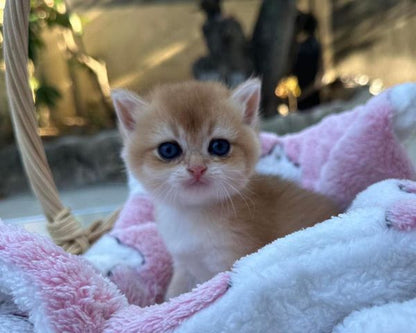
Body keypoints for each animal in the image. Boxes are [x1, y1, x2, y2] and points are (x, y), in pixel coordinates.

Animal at [112, 78, 340, 298]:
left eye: (219, 146)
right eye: (168, 149)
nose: (197, 168)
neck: (195, 215)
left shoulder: (231, 259)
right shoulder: (184, 264)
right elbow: (175, 294)